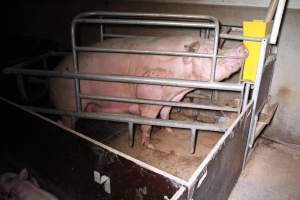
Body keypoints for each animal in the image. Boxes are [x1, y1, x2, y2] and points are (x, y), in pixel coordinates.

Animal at [48, 35, 246, 148]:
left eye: (218, 46)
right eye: (209, 51)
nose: (242, 47)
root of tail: (53, 74)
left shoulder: (172, 98)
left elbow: (166, 113)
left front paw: (170, 131)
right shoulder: (149, 91)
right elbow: (148, 121)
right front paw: (149, 146)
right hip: (68, 101)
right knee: (66, 121)